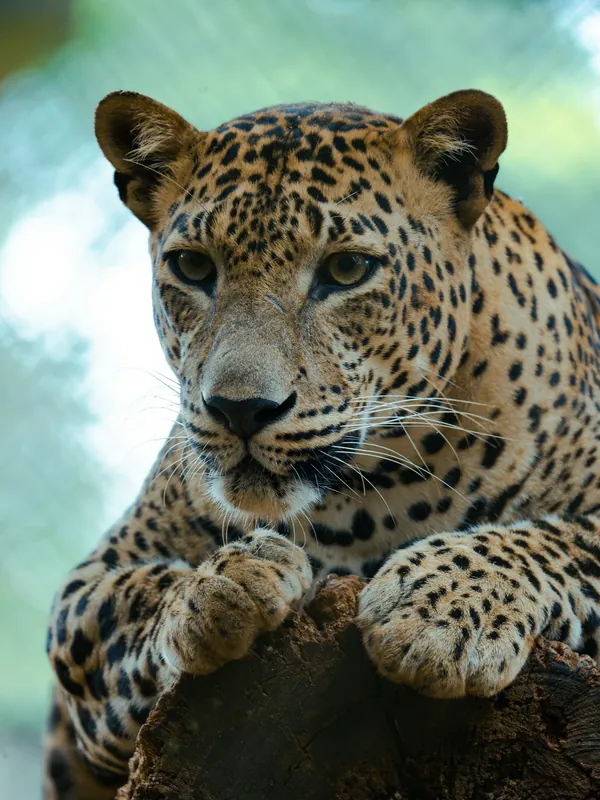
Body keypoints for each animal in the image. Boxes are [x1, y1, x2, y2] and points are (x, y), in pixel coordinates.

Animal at [43, 88, 600, 799]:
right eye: (193, 266)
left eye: (347, 269)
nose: (241, 409)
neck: (366, 502)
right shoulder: (87, 589)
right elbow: (125, 603)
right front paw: (220, 584)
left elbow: (552, 539)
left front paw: (439, 611)